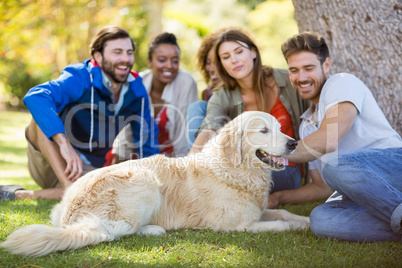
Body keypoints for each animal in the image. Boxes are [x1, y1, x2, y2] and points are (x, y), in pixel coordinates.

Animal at [1, 111, 310, 258]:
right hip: (145, 179)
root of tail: (70, 217)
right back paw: (154, 229)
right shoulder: (238, 225)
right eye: (264, 131)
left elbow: (284, 213)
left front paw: (306, 221)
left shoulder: (259, 210)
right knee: (113, 232)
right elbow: (281, 225)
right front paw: (299, 227)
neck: (236, 170)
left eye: (280, 128)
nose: (293, 143)